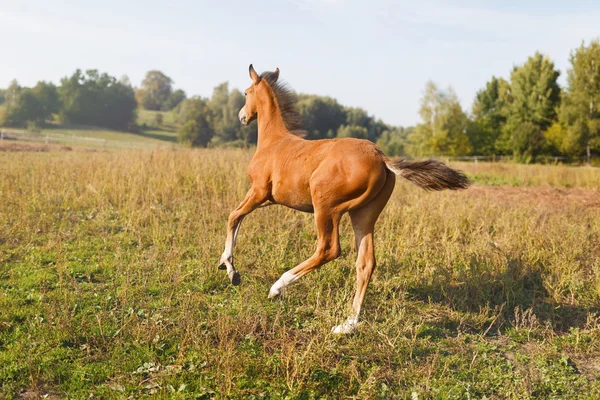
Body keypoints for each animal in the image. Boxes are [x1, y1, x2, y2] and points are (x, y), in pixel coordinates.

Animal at [220, 65, 468, 334]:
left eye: (246, 92)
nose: (242, 116)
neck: (273, 141)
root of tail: (381, 158)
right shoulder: (269, 198)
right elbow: (239, 218)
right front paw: (228, 267)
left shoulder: (258, 191)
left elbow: (233, 216)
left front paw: (230, 269)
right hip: (363, 214)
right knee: (366, 262)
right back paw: (348, 324)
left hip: (326, 207)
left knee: (329, 249)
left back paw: (277, 287)